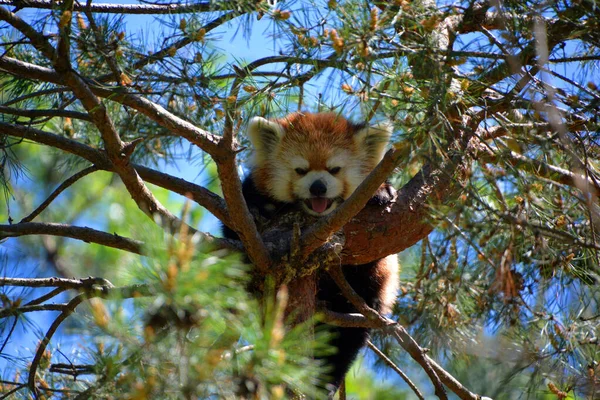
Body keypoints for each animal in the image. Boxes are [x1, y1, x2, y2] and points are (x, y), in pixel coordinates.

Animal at [221, 111, 398, 396]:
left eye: (334, 169)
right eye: (301, 170)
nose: (318, 187)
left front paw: (381, 191)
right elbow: (237, 230)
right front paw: (263, 210)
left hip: (364, 298)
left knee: (346, 338)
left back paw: (327, 380)